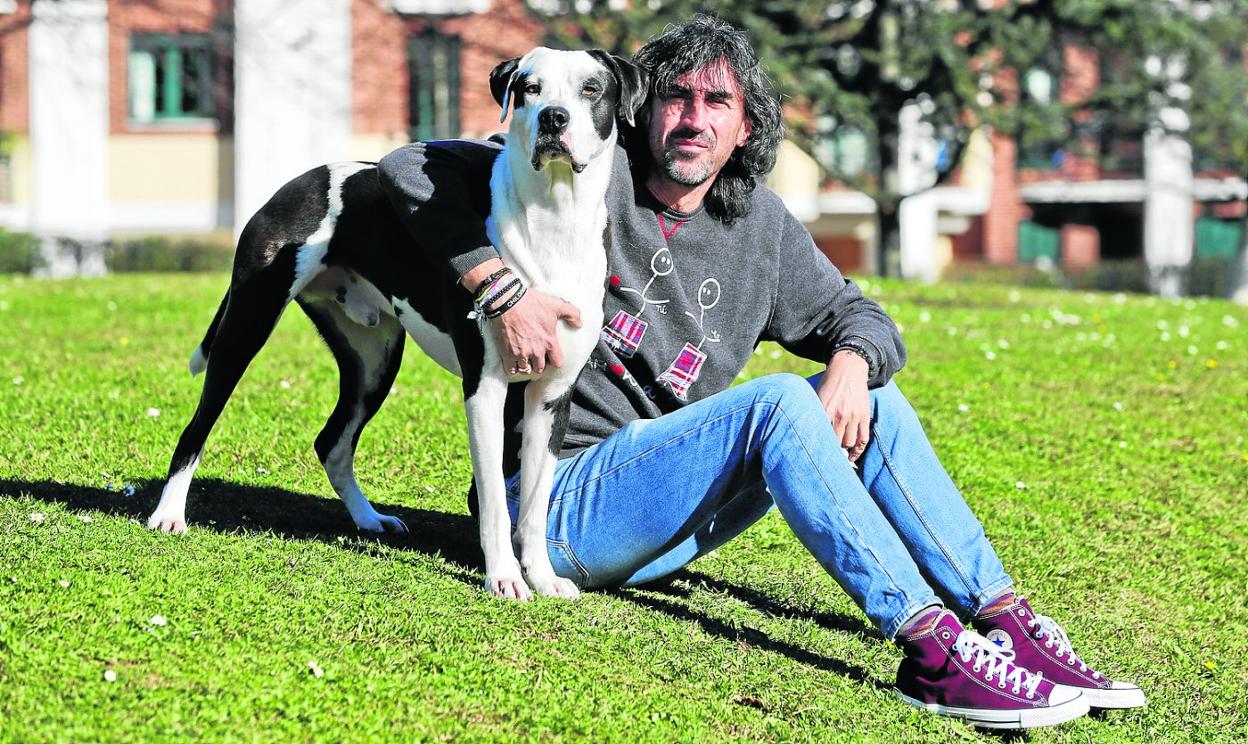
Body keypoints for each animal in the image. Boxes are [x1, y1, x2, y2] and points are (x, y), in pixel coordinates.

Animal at [148, 48, 643, 604]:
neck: (555, 218)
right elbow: (496, 501)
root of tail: (298, 181)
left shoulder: (551, 396)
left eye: (591, 89)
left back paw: (369, 519)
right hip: (246, 327)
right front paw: (504, 578)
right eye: (530, 88)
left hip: (374, 361)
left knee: (332, 442)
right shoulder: (486, 389)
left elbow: (536, 504)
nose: (553, 119)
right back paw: (169, 514)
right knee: (198, 426)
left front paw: (541, 576)